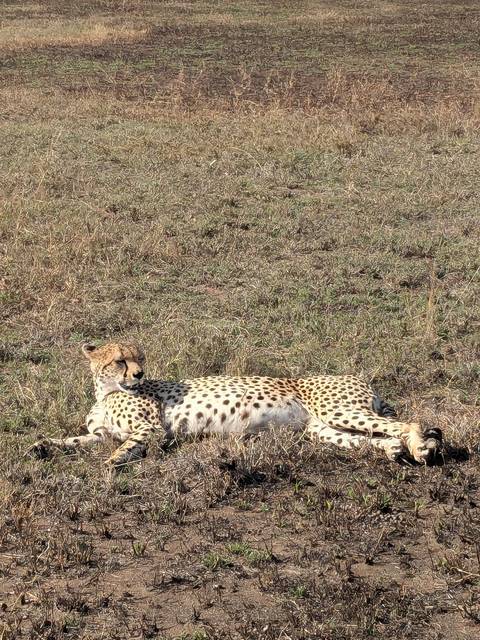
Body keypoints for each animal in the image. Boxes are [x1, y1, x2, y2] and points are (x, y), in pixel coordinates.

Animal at [30, 341, 442, 466]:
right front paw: (42, 446)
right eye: (120, 360)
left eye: (139, 357)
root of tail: (358, 376)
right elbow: (74, 440)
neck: (107, 391)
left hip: (337, 409)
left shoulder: (151, 428)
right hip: (322, 429)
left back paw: (420, 447)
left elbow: (131, 443)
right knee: (378, 438)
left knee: (406, 424)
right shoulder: (100, 435)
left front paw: (115, 461)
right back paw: (394, 451)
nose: (139, 374)